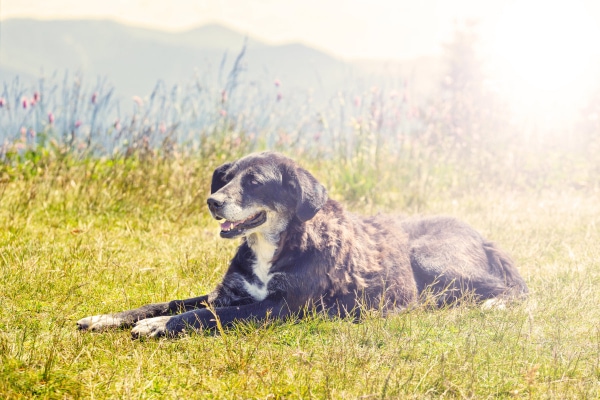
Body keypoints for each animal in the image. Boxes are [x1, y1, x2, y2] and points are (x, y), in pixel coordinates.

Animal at [77, 151, 528, 338]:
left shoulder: (282, 307)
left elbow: (205, 316)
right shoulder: (224, 293)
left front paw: (157, 327)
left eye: (255, 182)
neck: (273, 246)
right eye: (225, 177)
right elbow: (165, 302)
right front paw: (108, 317)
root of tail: (481, 234)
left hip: (430, 257)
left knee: (514, 290)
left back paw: (494, 305)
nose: (212, 201)